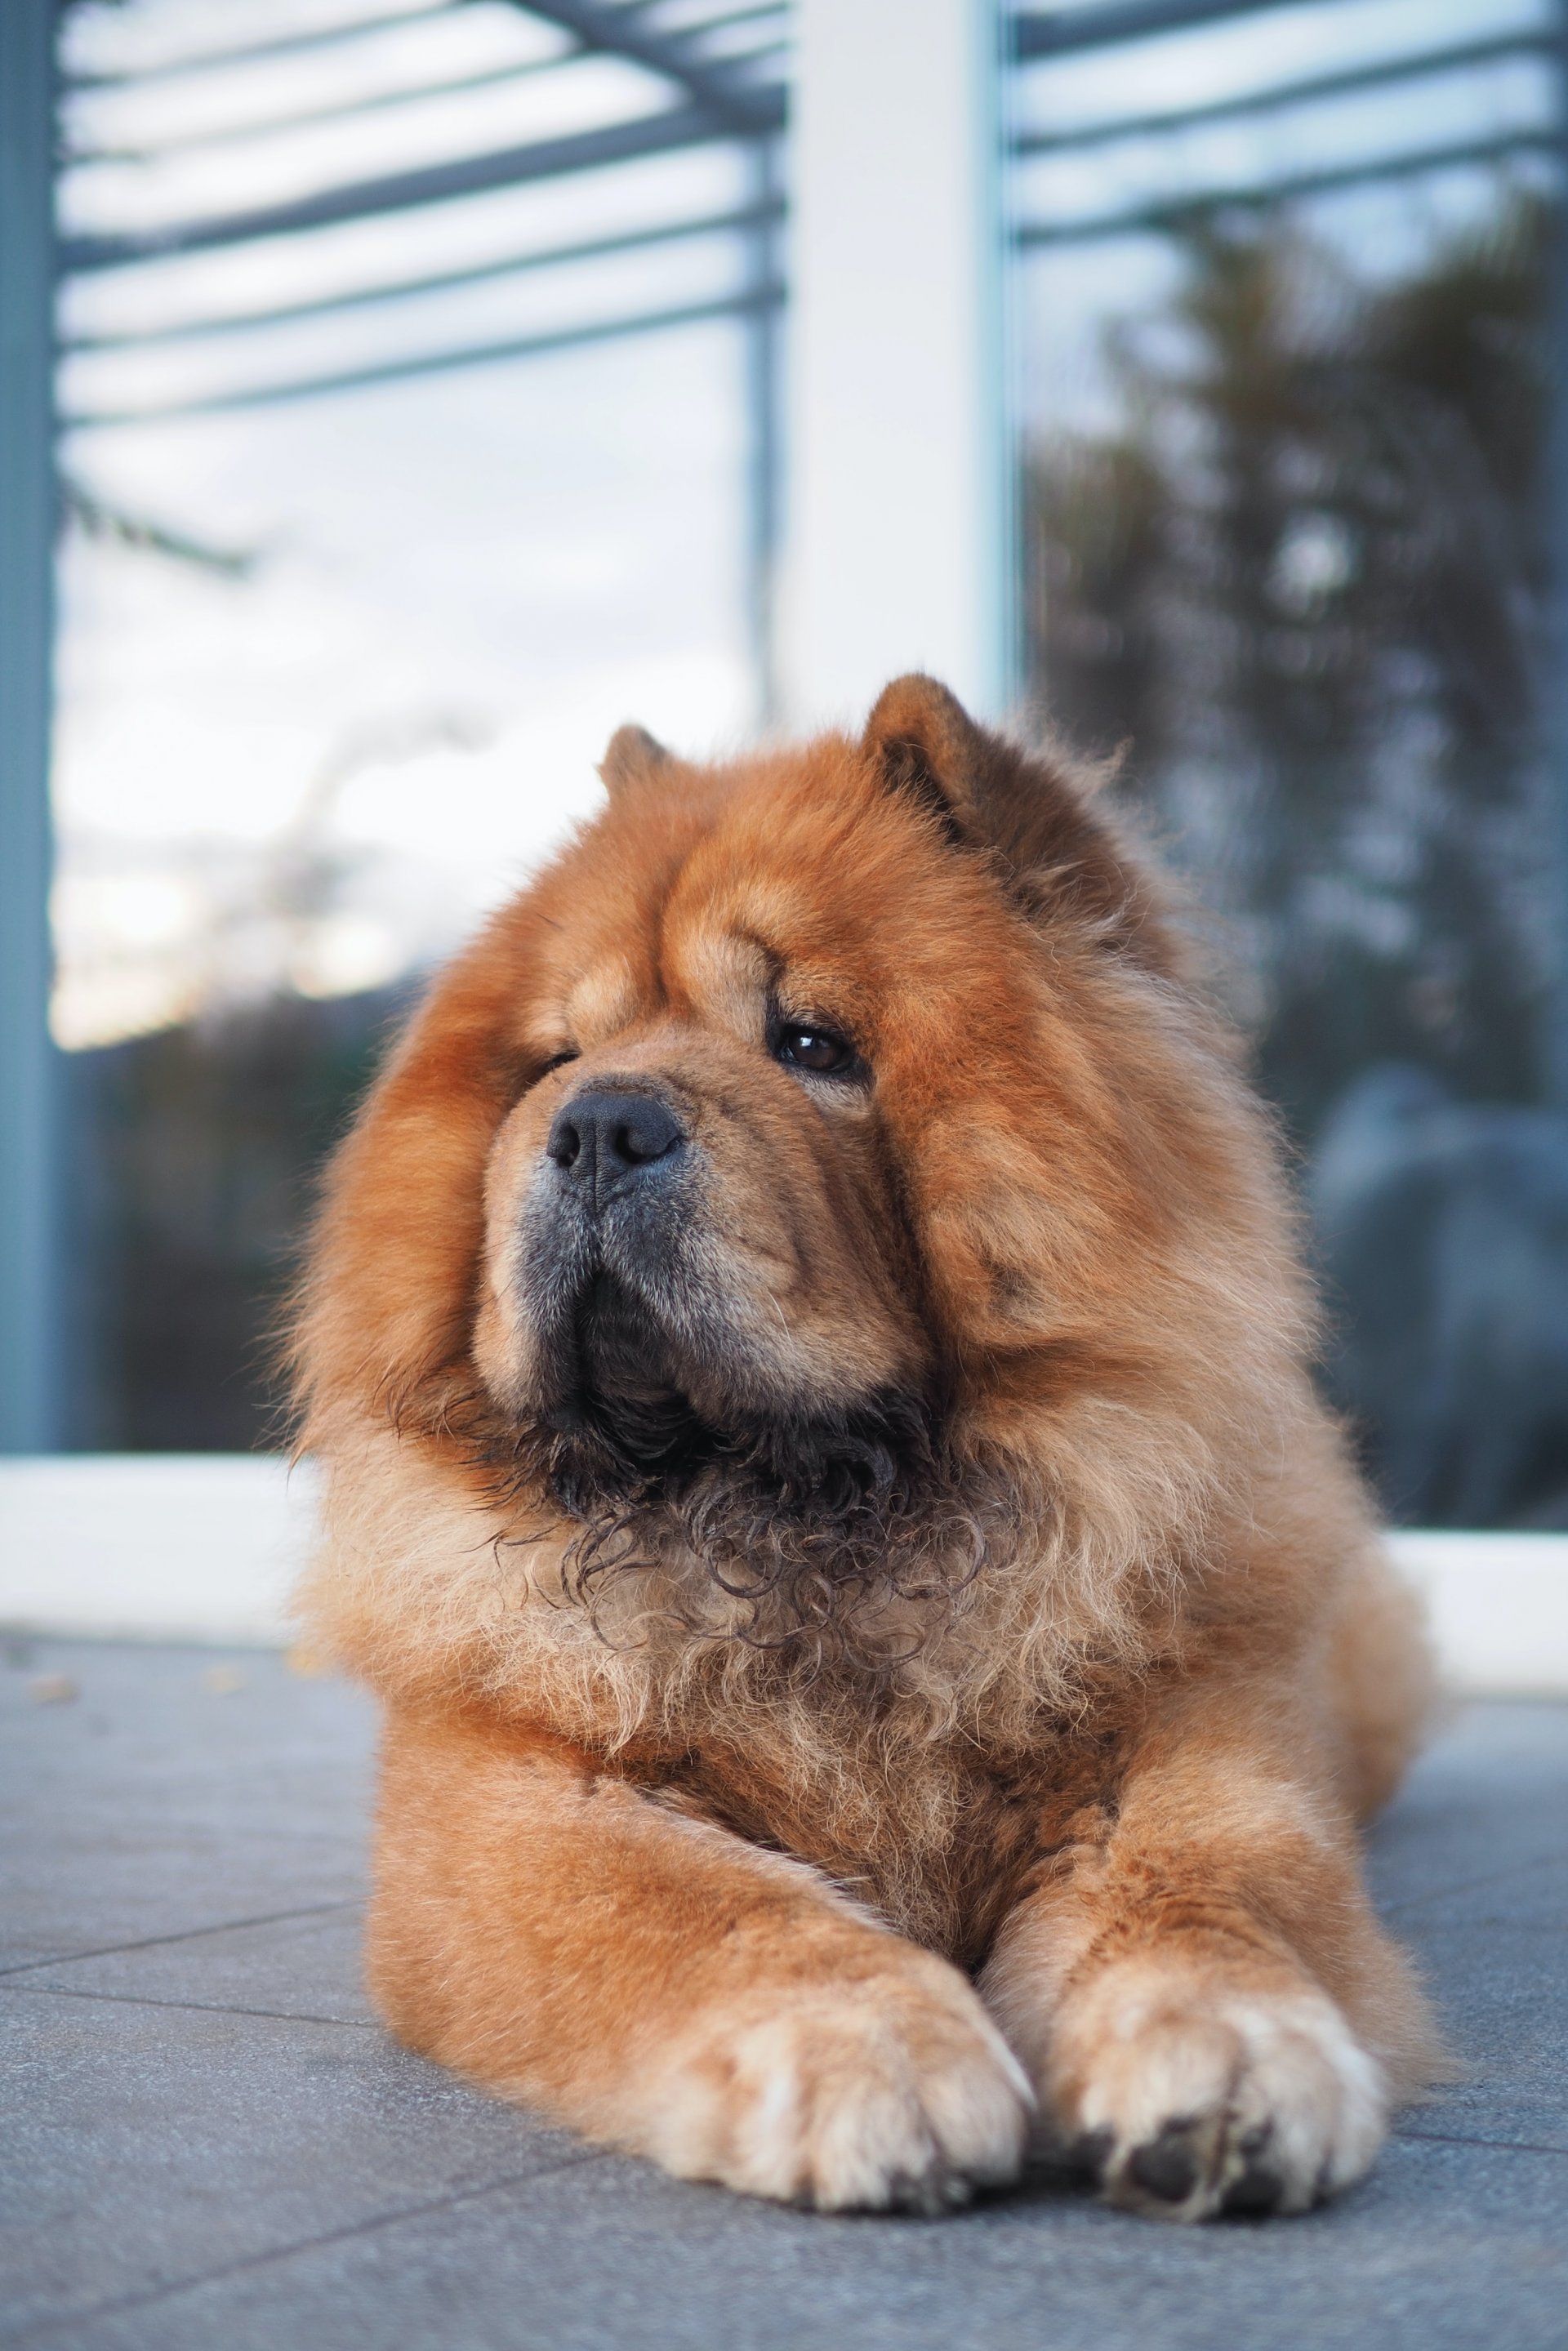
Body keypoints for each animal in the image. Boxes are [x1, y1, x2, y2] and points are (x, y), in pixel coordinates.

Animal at [293, 677, 1448, 2219]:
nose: (598, 1122)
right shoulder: (512, 1786)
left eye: (812, 1045)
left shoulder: (1204, 1731)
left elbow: (1209, 1893)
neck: (803, 1524)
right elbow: (711, 1905)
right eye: (555, 1059)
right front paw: (867, 2048)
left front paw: (1227, 2056)